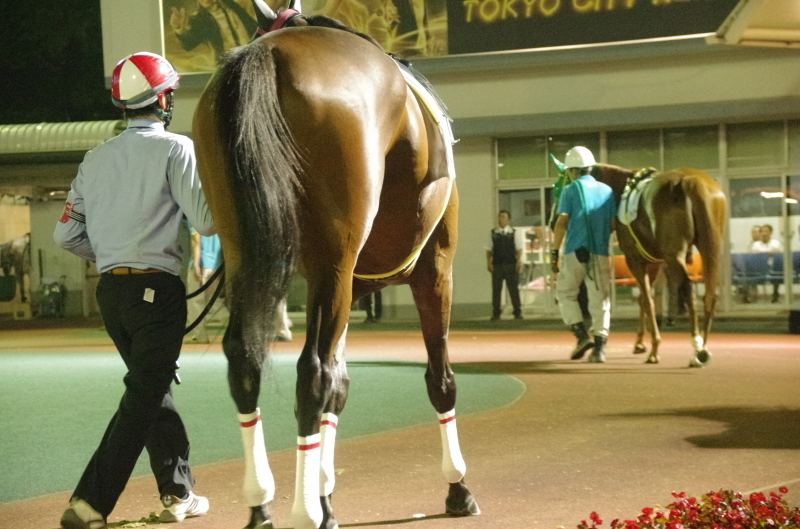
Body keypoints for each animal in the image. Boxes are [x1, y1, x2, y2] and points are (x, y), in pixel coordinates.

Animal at [192, 2, 482, 524]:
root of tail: (270, 54)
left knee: (247, 360)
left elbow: (339, 391)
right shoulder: (434, 269)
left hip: (251, 254)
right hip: (337, 263)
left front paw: (326, 496)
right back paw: (301, 512)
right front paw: (457, 486)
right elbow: (440, 379)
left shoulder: (351, 285)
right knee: (312, 373)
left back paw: (261, 505)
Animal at [592, 165, 724, 368]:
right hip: (711, 247)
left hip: (675, 256)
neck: (621, 189)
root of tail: (691, 181)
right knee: (710, 295)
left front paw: (654, 348)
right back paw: (702, 348)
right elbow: (644, 299)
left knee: (687, 289)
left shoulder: (634, 260)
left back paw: (696, 345)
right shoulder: (653, 262)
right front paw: (640, 343)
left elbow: (647, 300)